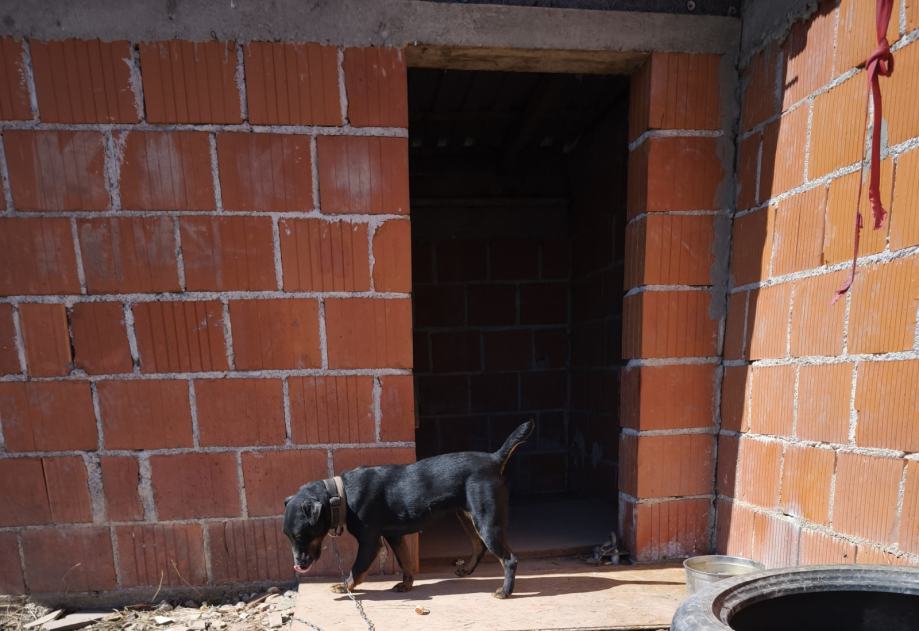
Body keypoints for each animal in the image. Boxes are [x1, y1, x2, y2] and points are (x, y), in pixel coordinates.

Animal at [283, 419, 534, 599]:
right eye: (288, 537)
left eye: (301, 535)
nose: (298, 565)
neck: (341, 495)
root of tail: (494, 458)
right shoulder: (394, 536)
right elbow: (405, 561)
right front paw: (407, 584)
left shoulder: (370, 541)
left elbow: (357, 568)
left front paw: (345, 587)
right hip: (467, 516)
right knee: (478, 545)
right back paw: (467, 570)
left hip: (486, 520)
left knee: (509, 559)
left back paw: (505, 591)